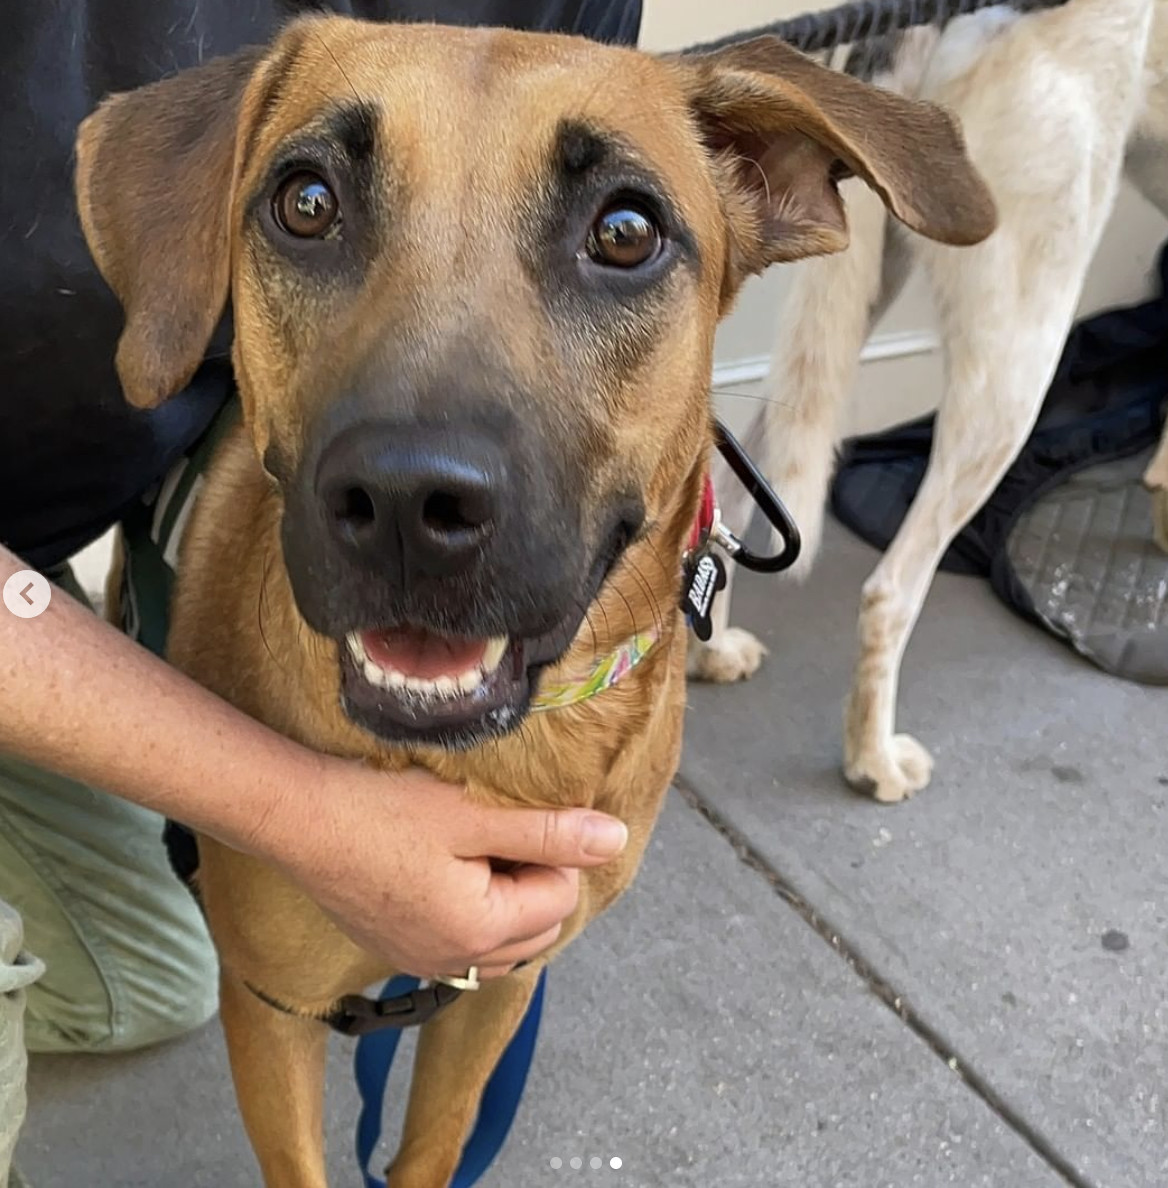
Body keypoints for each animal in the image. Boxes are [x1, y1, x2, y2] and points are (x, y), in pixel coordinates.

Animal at [73, 13, 993, 1183]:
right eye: (306, 202)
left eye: (627, 232)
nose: (406, 501)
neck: (493, 765)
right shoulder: (273, 1011)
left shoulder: (497, 985)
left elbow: (435, 1140)